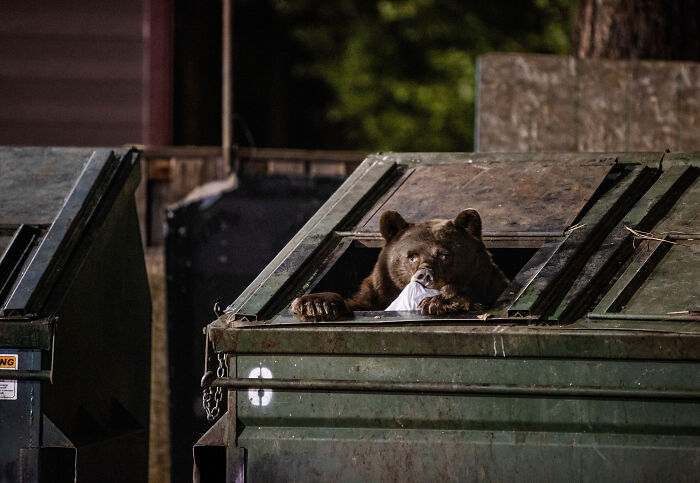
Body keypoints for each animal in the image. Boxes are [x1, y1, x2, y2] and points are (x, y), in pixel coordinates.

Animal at [290, 210, 508, 324]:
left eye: (444, 254)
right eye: (411, 256)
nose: (424, 276)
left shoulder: (490, 287)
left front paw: (440, 300)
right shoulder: (377, 294)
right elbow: (355, 303)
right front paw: (315, 303)